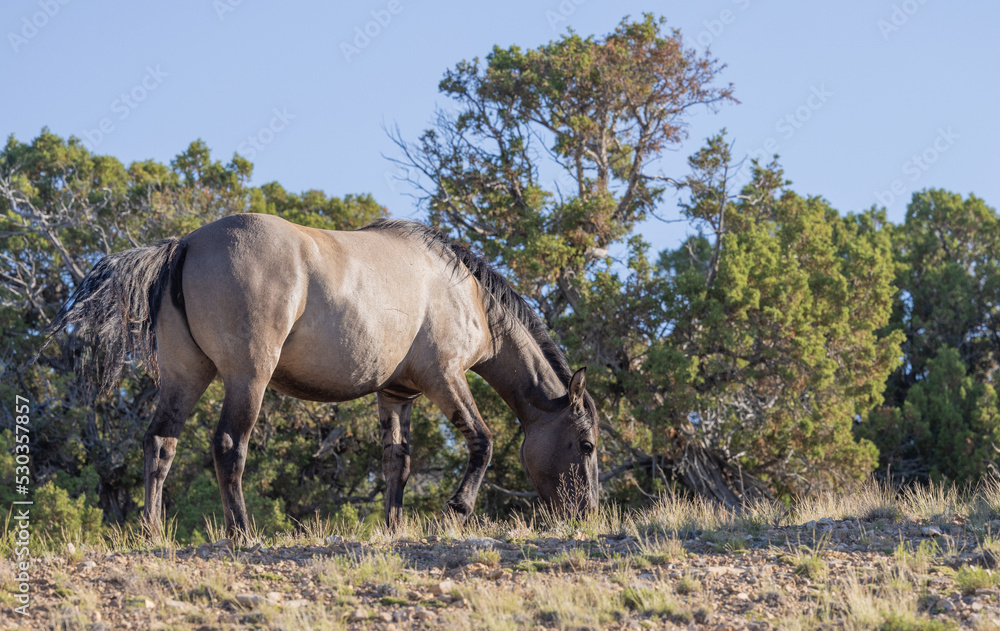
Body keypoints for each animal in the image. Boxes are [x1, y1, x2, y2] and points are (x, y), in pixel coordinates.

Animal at [50, 213, 600, 536]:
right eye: (587, 445)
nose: (587, 512)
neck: (466, 292)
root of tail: (184, 245)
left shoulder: (395, 394)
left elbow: (396, 462)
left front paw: (392, 526)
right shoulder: (446, 378)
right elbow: (481, 441)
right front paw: (456, 509)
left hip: (186, 376)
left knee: (160, 443)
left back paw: (152, 531)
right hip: (248, 377)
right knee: (229, 446)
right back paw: (242, 532)